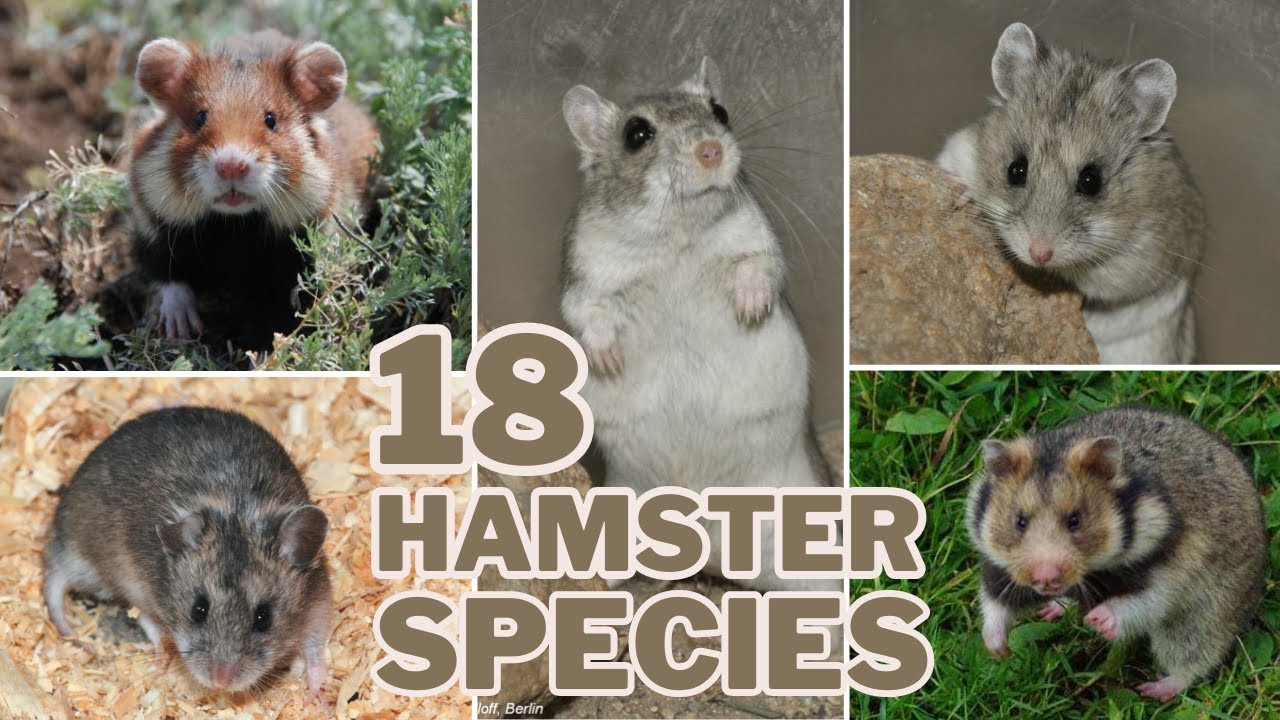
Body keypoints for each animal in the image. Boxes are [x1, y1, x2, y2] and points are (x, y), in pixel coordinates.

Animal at [43, 407, 332, 702]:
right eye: (198, 610)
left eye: (264, 618)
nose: (220, 682)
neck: (236, 509)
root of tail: (60, 550)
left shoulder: (318, 603)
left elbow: (314, 651)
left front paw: (315, 698)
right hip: (127, 579)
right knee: (147, 619)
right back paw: (159, 659)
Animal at [128, 30, 378, 348]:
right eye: (199, 117)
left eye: (271, 120)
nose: (232, 166)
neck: (235, 227)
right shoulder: (155, 225)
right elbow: (169, 275)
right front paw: (181, 330)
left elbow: (273, 316)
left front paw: (264, 352)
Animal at [558, 58, 835, 595]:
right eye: (637, 134)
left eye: (720, 111)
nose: (712, 149)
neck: (677, 233)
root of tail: (708, 556)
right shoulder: (584, 285)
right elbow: (590, 316)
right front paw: (608, 359)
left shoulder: (762, 249)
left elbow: (757, 272)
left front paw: (750, 310)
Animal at [936, 23, 1206, 364]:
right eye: (1015, 169)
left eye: (1091, 181)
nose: (1038, 255)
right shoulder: (960, 149)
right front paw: (966, 199)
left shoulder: (1141, 262)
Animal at [966, 407, 1267, 701]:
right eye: (1019, 521)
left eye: (1075, 520)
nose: (1046, 578)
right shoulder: (998, 569)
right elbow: (995, 605)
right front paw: (998, 650)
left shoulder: (1167, 573)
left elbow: (1140, 601)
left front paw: (1096, 621)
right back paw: (1051, 609)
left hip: (1205, 613)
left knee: (1192, 659)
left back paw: (1153, 690)